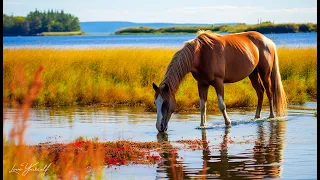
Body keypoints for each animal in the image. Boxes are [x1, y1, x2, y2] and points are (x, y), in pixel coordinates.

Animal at [152, 30, 288, 132]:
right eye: (155, 103)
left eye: (165, 103)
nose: (159, 127)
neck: (200, 54)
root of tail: (268, 41)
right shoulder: (202, 84)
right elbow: (202, 106)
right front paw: (203, 125)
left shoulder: (218, 82)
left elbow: (222, 105)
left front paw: (228, 123)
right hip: (253, 74)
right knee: (260, 92)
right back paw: (256, 117)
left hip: (265, 73)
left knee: (270, 92)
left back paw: (271, 116)